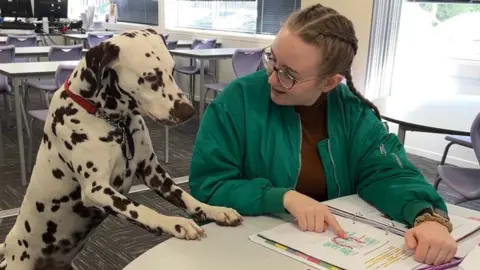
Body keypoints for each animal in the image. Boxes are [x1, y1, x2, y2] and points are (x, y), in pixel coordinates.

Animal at [0, 28, 240, 270]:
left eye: (172, 70)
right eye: (151, 77)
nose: (188, 111)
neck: (113, 121)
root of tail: (8, 246)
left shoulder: (154, 174)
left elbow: (185, 196)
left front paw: (215, 210)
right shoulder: (97, 190)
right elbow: (140, 208)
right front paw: (175, 222)